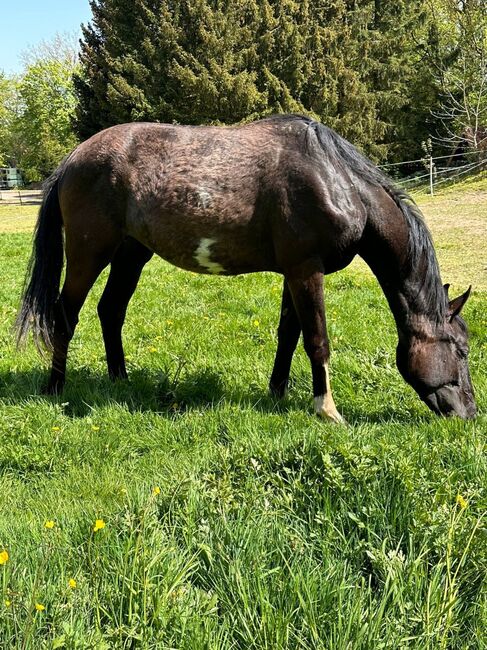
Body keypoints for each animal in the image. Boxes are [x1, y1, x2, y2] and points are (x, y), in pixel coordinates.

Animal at [16, 114, 476, 420]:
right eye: (461, 350)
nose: (469, 414)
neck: (337, 180)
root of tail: (73, 159)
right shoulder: (306, 269)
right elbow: (317, 340)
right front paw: (327, 410)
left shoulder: (294, 272)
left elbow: (289, 335)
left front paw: (277, 393)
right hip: (88, 254)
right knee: (64, 314)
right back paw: (56, 387)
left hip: (131, 254)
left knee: (111, 310)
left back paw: (120, 381)